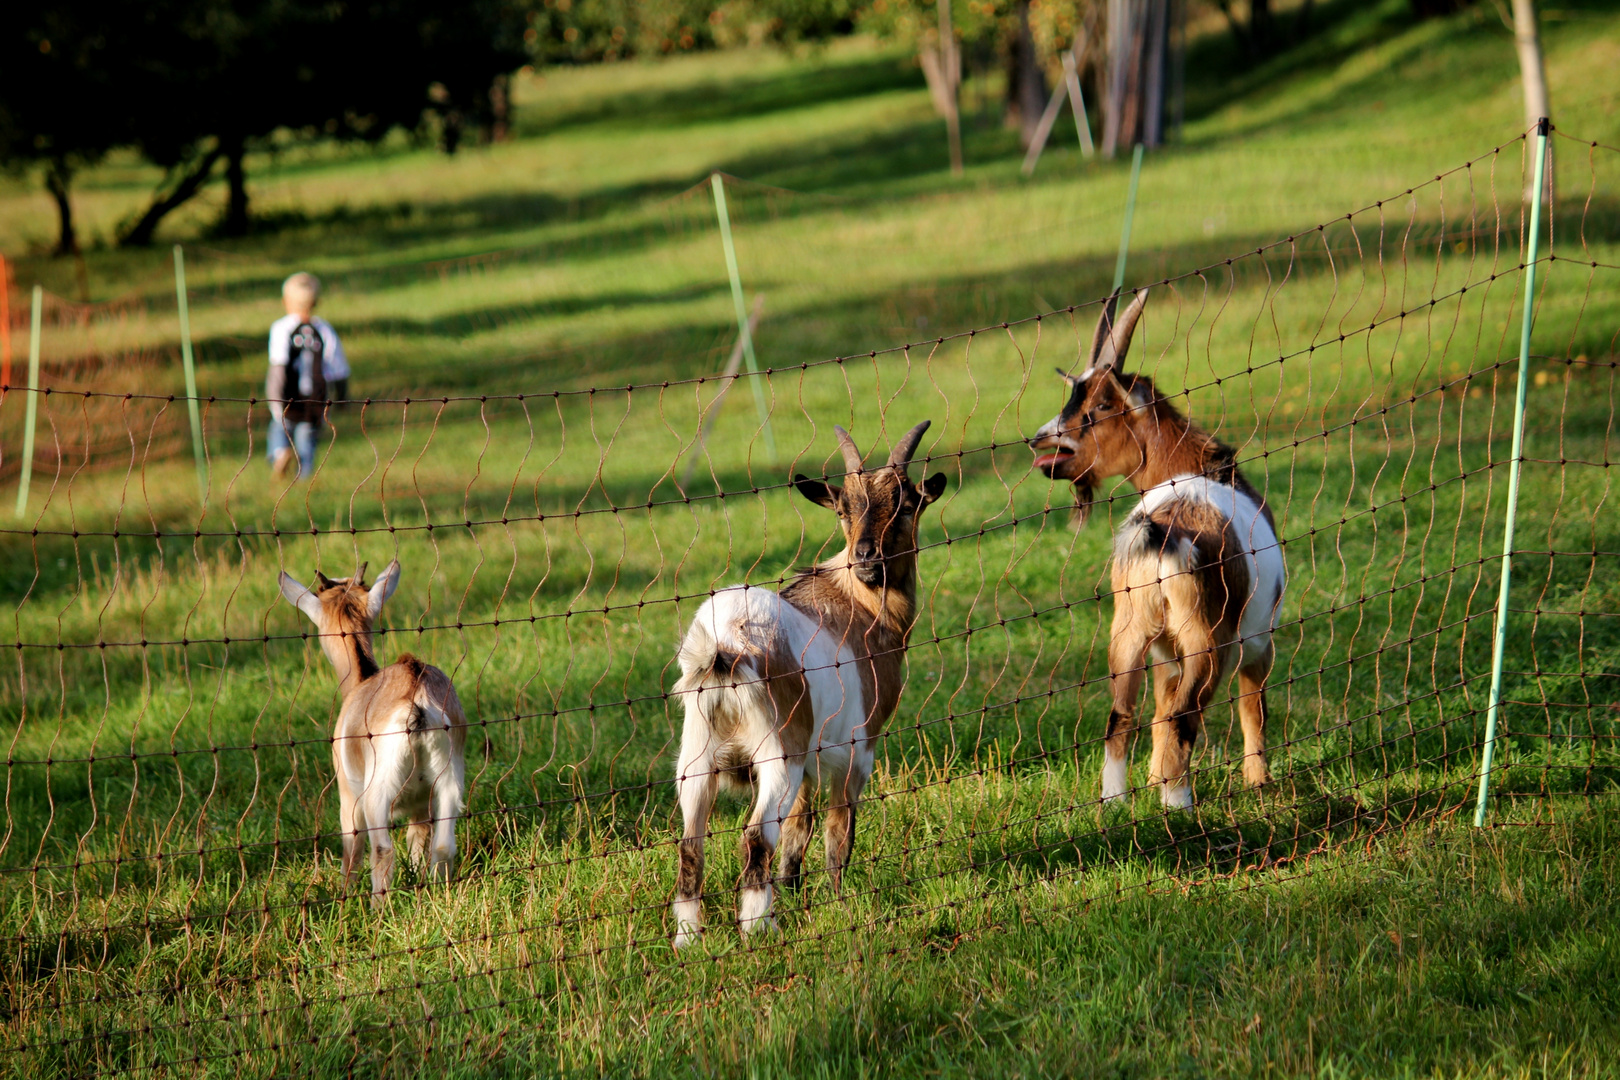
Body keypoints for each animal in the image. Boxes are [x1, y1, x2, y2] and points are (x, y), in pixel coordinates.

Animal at [278, 563, 466, 906]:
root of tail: (416, 696)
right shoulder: (420, 804)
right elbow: (418, 840)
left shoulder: (348, 795)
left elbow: (352, 849)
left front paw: (344, 896)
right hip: (449, 780)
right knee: (444, 846)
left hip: (377, 791)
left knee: (383, 849)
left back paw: (378, 909)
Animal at [670, 420, 946, 945]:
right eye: (843, 509)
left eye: (906, 504)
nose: (866, 558)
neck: (861, 608)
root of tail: (724, 643)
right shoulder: (856, 748)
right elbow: (838, 829)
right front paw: (838, 905)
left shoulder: (811, 764)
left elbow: (800, 828)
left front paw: (797, 896)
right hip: (779, 751)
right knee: (756, 836)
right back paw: (759, 929)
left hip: (696, 755)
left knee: (691, 842)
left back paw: (689, 940)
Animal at [1030, 291, 1283, 806]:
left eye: (1100, 403)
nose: (1041, 441)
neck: (1198, 468)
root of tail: (1163, 538)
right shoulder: (1257, 639)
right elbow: (1253, 707)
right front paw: (1258, 780)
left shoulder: (1163, 650)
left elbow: (1159, 708)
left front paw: (1151, 778)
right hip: (1207, 637)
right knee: (1187, 714)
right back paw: (1178, 802)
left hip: (1128, 629)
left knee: (1123, 715)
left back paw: (1116, 802)